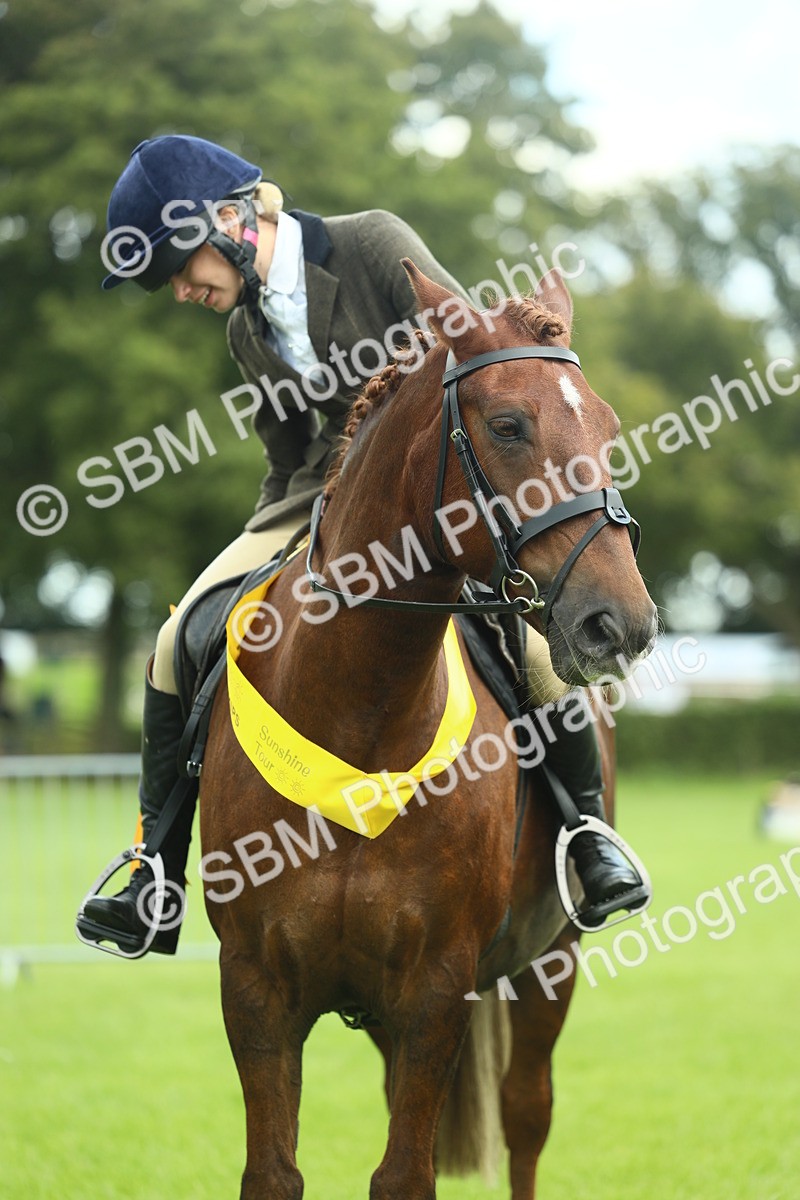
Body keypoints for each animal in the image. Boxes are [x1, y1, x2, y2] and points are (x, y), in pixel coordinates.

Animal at [198, 261, 657, 1199]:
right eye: (510, 426)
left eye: (605, 426)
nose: (621, 625)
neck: (361, 712)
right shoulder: (257, 988)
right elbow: (274, 1173)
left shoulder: (437, 988)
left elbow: (405, 1174)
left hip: (549, 968)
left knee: (526, 1117)